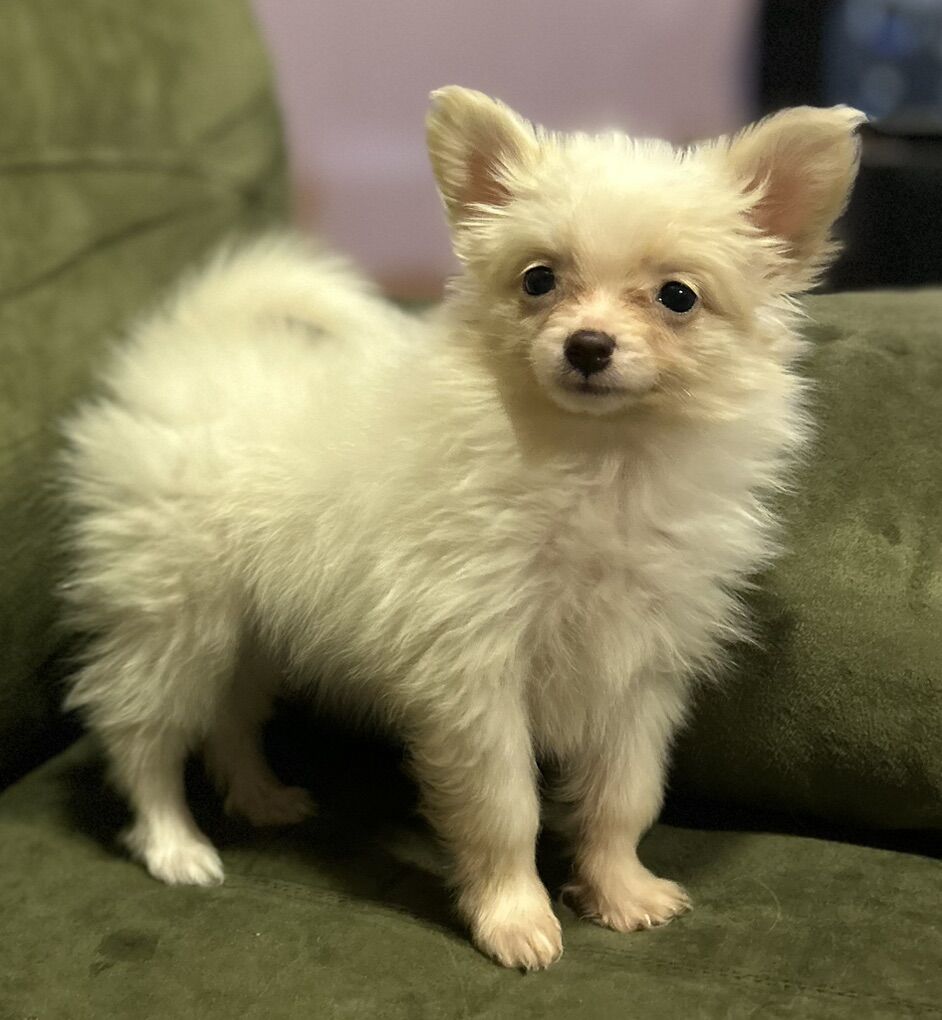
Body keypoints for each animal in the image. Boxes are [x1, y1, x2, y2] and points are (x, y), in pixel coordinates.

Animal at [60, 87, 862, 969]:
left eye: (678, 296)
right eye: (539, 280)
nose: (587, 346)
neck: (597, 461)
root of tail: (183, 352)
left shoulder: (637, 676)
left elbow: (624, 798)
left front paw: (620, 892)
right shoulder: (473, 674)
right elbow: (505, 810)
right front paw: (516, 921)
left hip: (250, 631)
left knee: (231, 720)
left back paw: (262, 798)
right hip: (174, 617)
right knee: (141, 733)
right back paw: (175, 845)